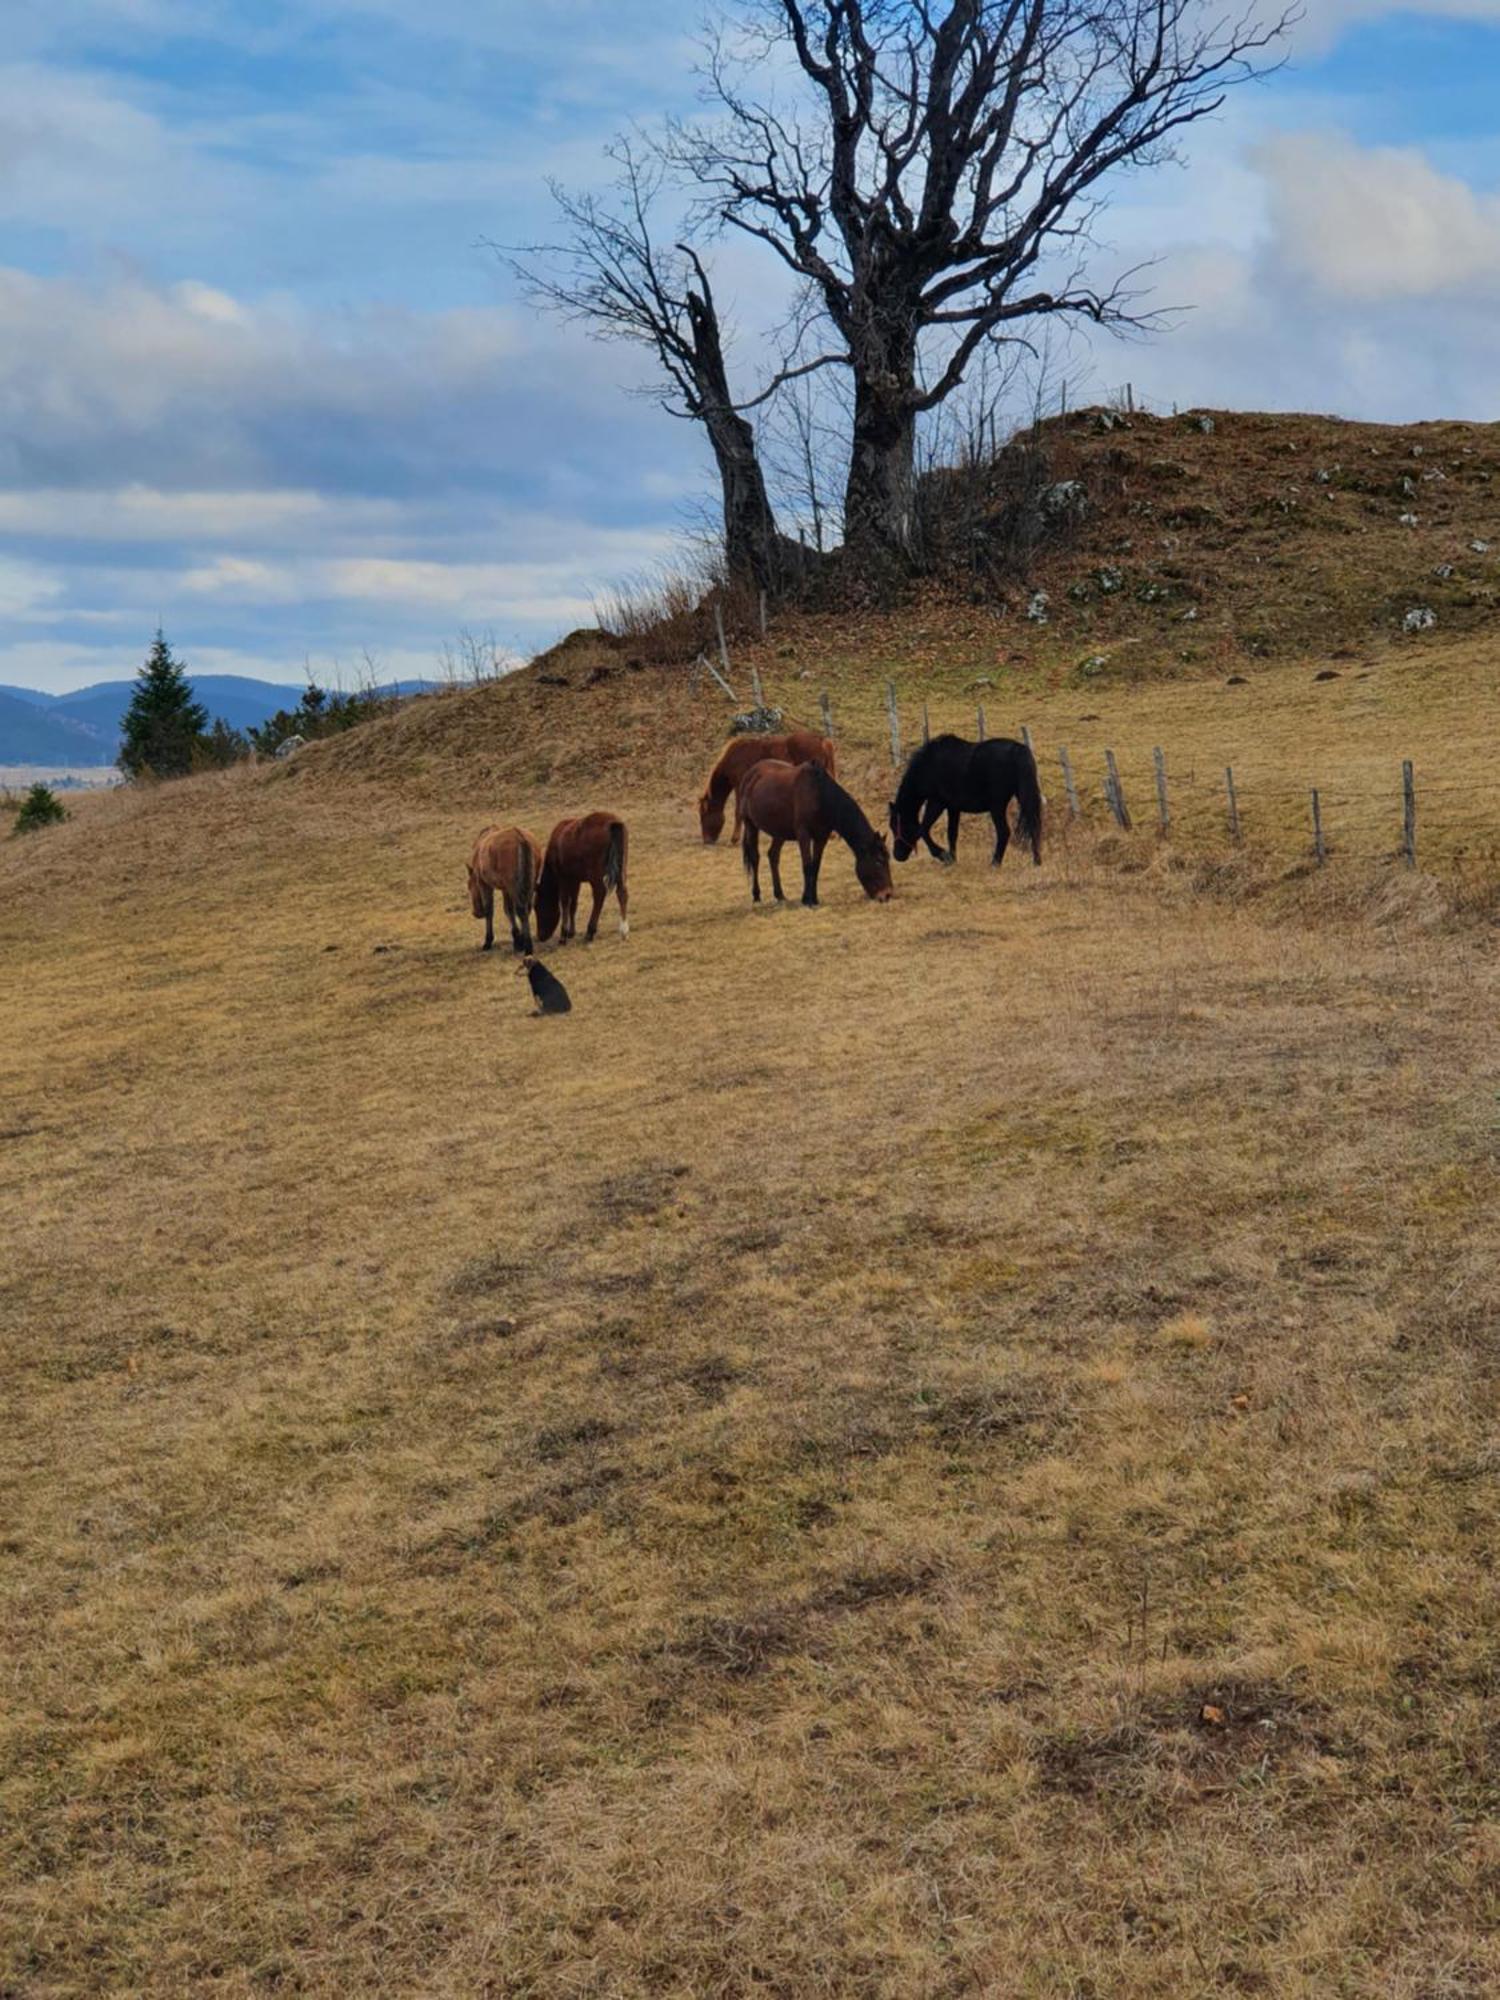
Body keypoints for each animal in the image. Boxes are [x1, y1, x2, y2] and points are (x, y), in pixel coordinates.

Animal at [470, 824, 548, 956]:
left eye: (470, 888)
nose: (476, 913)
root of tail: (521, 838)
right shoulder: (506, 889)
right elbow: (509, 910)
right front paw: (518, 939)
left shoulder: (485, 885)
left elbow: (490, 910)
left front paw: (488, 941)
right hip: (528, 884)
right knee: (526, 908)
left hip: (514, 886)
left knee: (521, 910)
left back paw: (528, 947)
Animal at [536, 808, 632, 940]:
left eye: (537, 907)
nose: (540, 936)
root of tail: (613, 823)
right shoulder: (575, 880)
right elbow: (573, 904)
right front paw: (571, 932)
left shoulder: (563, 878)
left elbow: (565, 902)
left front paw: (564, 933)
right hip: (621, 868)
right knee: (622, 892)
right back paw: (624, 929)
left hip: (596, 876)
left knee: (599, 896)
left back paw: (590, 930)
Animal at [704, 732, 840, 840]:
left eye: (703, 814)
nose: (707, 840)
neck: (733, 757)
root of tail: (823, 741)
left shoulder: (738, 786)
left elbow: (738, 811)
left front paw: (735, 838)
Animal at [736, 756, 892, 908]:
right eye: (878, 861)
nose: (887, 895)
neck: (819, 795)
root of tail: (750, 773)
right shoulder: (804, 835)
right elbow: (807, 866)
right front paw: (807, 900)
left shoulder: (821, 837)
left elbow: (815, 866)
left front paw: (814, 899)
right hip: (750, 825)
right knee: (755, 858)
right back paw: (756, 895)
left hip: (779, 832)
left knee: (773, 855)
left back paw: (780, 895)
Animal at [892, 732, 1048, 864]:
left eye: (896, 826)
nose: (897, 856)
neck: (929, 766)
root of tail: (1018, 749)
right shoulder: (953, 807)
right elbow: (951, 833)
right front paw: (952, 859)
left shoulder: (937, 802)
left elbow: (923, 829)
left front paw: (943, 855)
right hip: (1022, 798)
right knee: (1033, 826)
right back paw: (1036, 862)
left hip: (997, 806)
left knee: (1004, 832)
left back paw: (995, 863)